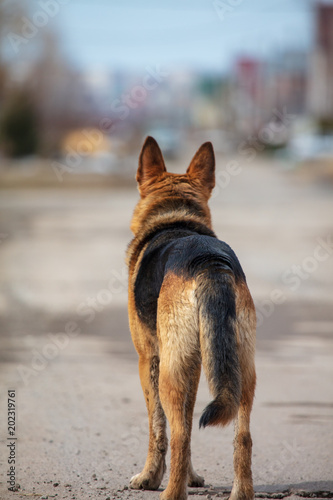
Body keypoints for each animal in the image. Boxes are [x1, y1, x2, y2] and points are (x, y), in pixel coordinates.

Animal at [126, 137, 255, 500]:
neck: (175, 219)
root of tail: (209, 261)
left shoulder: (149, 361)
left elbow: (159, 428)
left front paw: (149, 477)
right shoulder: (195, 366)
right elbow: (184, 421)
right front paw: (192, 477)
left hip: (171, 374)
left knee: (180, 436)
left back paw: (171, 493)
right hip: (240, 370)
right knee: (242, 437)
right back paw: (241, 492)